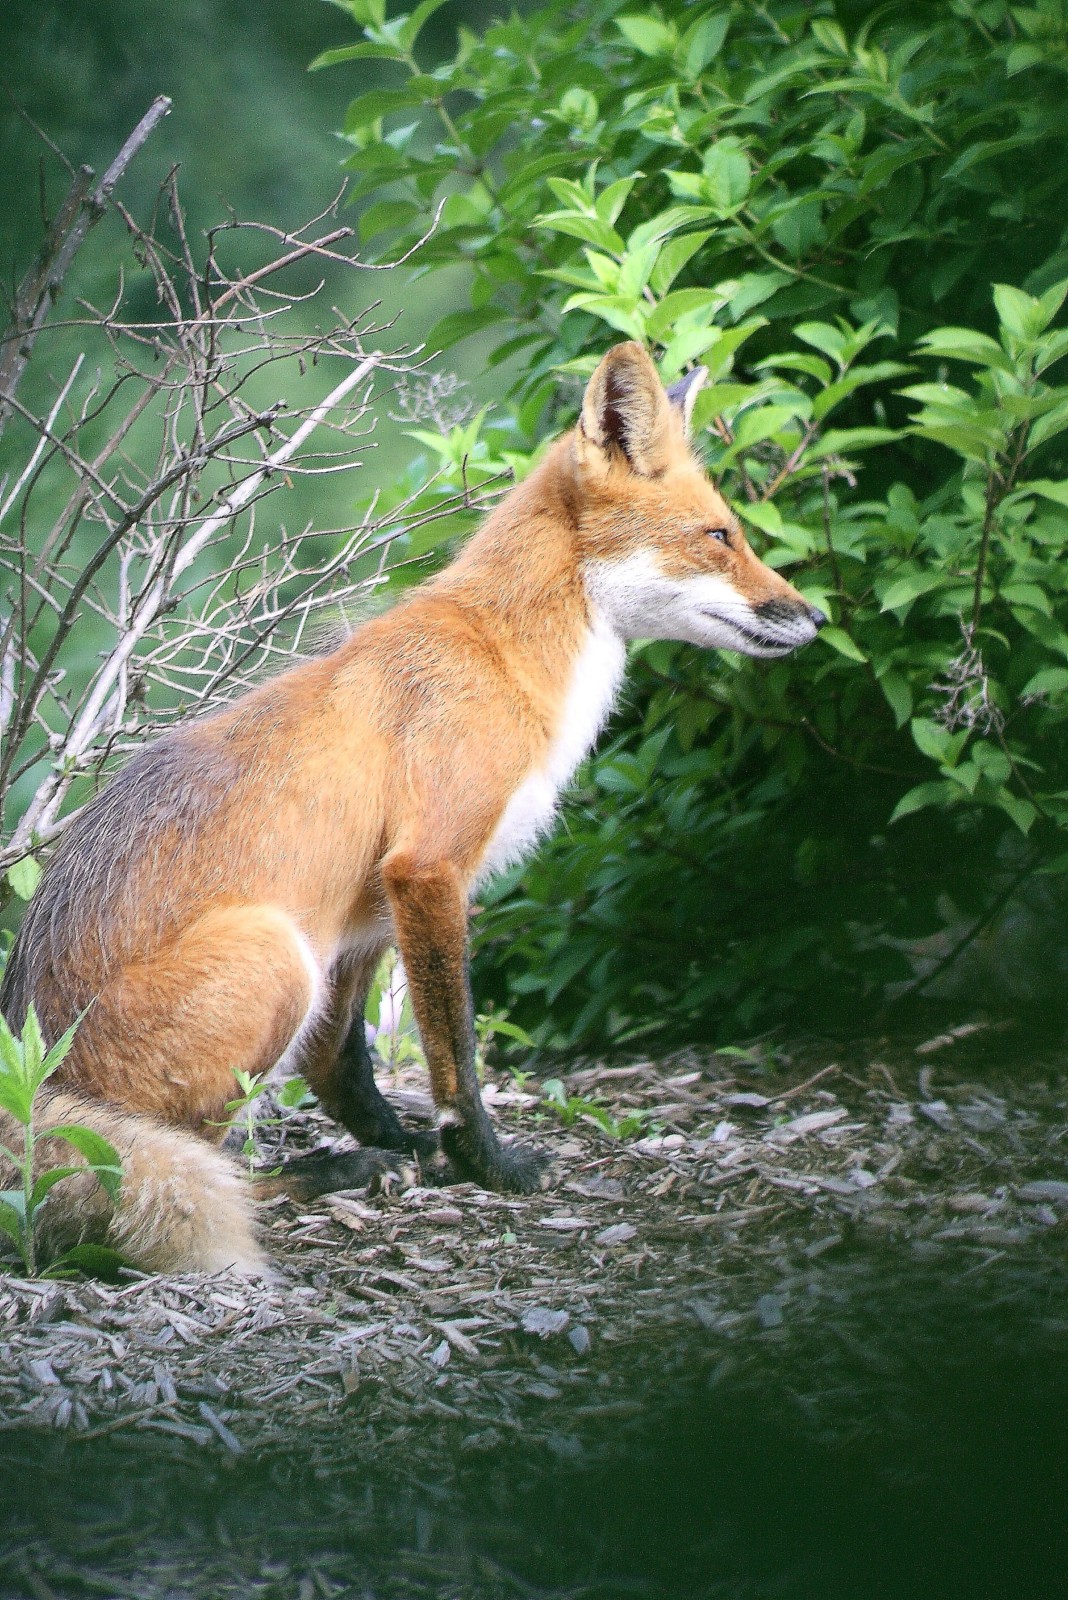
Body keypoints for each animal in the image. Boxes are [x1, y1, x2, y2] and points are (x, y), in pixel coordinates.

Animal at [0, 341, 825, 1275]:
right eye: (720, 536)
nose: (815, 617)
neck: (503, 655)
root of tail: (31, 1066)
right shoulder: (428, 868)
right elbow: (455, 1052)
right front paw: (487, 1164)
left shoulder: (364, 918)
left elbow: (343, 1068)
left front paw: (411, 1147)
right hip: (274, 951)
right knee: (204, 1159)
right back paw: (325, 1177)